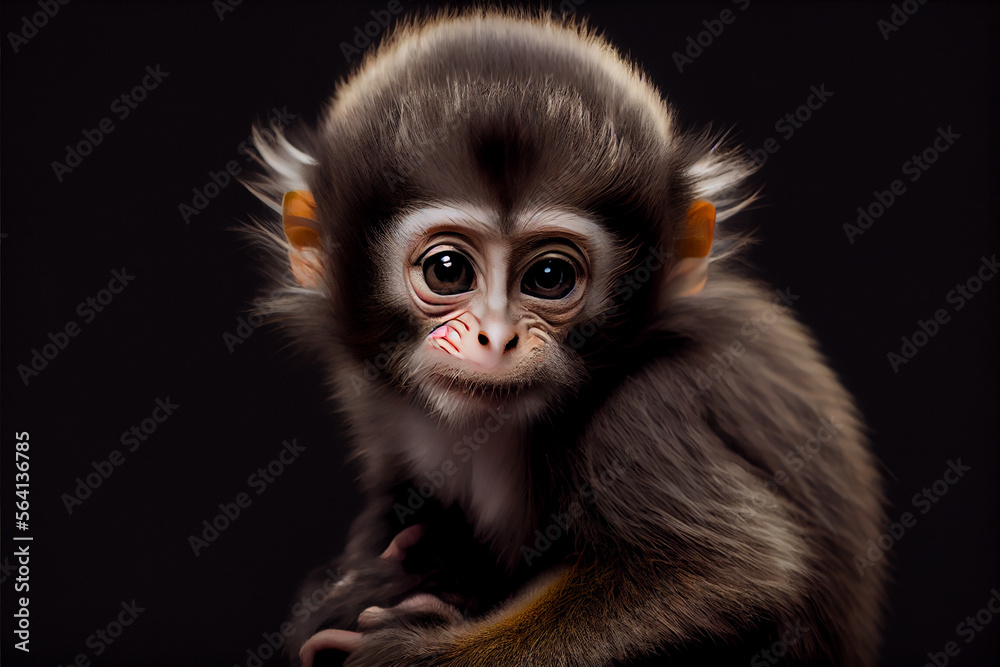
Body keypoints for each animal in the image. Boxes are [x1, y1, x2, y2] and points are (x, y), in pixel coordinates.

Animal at [243, 8, 886, 667]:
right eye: (447, 270)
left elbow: (724, 575)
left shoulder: (647, 409)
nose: (495, 338)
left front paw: (409, 650)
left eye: (549, 277)